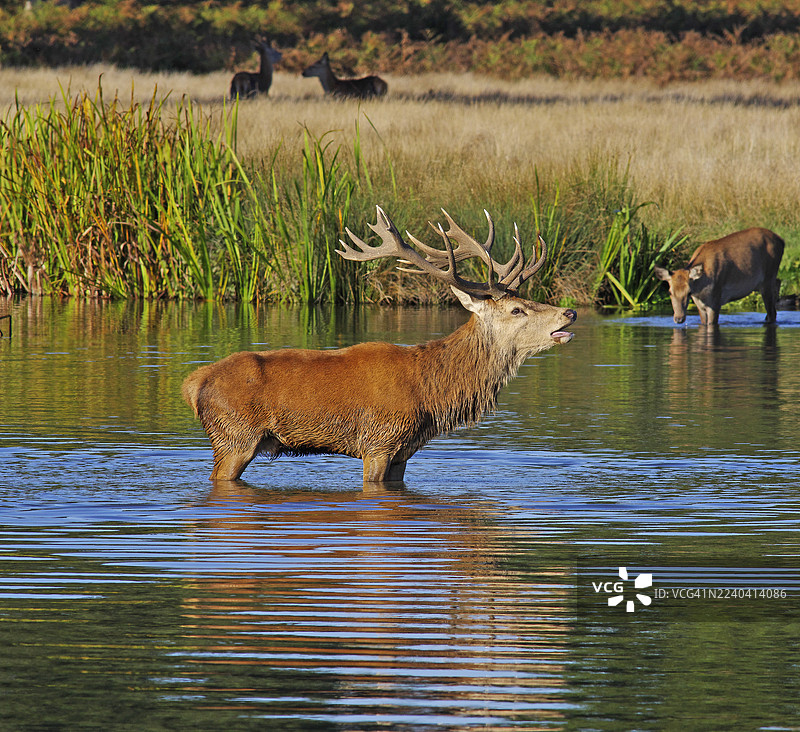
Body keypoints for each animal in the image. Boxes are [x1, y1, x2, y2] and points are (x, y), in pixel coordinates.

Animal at [182, 207, 577, 485]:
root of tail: (194, 383)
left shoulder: (403, 451)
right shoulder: (379, 442)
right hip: (235, 436)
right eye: (517, 309)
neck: (430, 390)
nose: (569, 312)